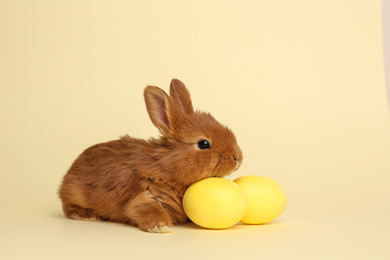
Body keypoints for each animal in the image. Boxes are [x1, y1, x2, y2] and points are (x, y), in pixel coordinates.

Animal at [58, 78, 242, 233]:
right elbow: (148, 210)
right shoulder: (147, 194)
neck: (166, 165)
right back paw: (87, 216)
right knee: (68, 207)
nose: (237, 158)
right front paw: (161, 227)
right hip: (74, 194)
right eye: (203, 144)